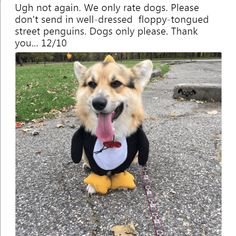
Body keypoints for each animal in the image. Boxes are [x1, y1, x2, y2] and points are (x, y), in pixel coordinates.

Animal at [71, 56, 152, 195]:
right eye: (92, 84)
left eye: (116, 83)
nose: (98, 103)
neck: (110, 137)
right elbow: (97, 171)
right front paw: (94, 184)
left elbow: (121, 170)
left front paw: (122, 182)